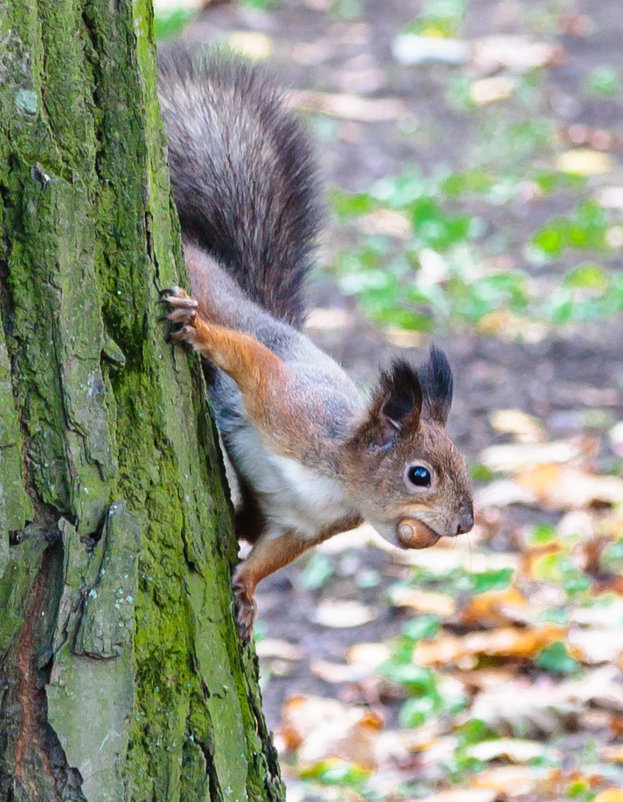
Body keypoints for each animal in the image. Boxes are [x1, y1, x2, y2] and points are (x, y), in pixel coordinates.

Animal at [158, 48, 476, 636]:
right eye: (419, 475)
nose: (466, 523)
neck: (337, 480)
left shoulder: (303, 524)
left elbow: (273, 554)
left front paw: (247, 591)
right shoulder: (288, 406)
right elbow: (251, 360)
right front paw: (199, 332)